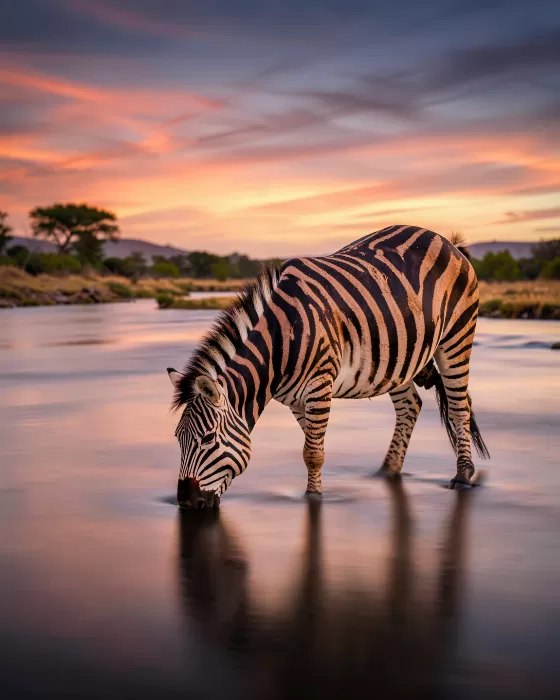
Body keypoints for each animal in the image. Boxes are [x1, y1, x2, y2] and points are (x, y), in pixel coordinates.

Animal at [168, 225, 489, 509]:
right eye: (178, 440)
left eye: (208, 439)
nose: (186, 503)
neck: (280, 342)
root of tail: (447, 241)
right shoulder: (296, 399)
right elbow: (313, 446)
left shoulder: (319, 385)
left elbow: (312, 452)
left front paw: (313, 499)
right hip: (398, 359)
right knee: (411, 405)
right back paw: (388, 470)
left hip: (456, 337)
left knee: (459, 408)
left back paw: (462, 476)